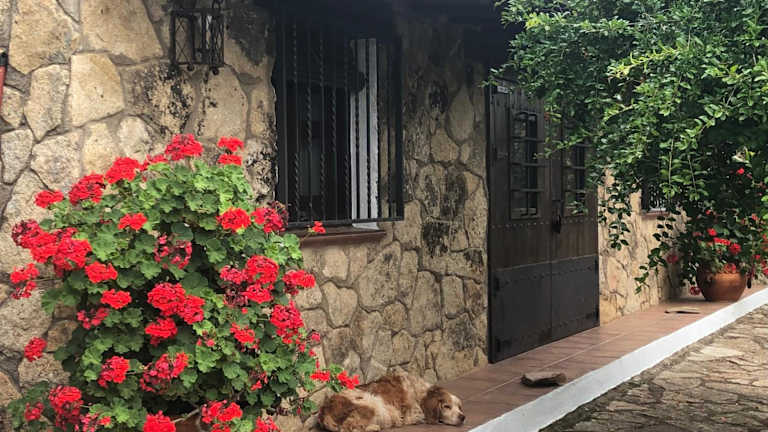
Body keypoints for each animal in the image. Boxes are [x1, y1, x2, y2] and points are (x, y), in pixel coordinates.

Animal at [318, 371, 465, 432]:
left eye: (459, 407)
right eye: (446, 406)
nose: (462, 417)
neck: (420, 392)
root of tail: (324, 410)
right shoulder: (413, 415)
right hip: (371, 402)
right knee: (348, 428)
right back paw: (373, 427)